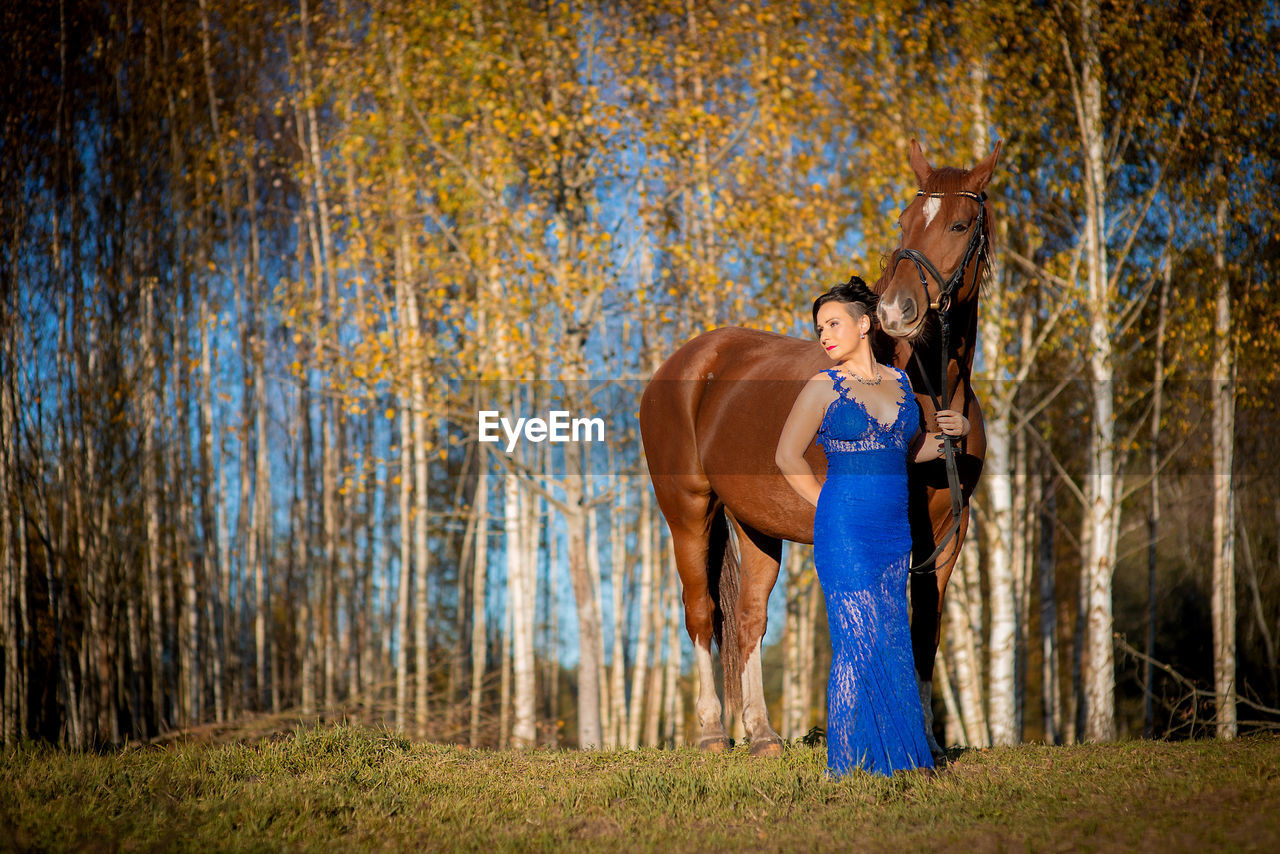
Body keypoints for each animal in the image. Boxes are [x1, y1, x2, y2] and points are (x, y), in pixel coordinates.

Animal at [640, 138, 998, 752]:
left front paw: (925, 740)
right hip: (687, 511)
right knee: (702, 612)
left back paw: (762, 734)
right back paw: (712, 732)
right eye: (904, 219)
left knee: (749, 617)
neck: (930, 386)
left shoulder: (947, 536)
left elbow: (924, 628)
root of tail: (686, 362)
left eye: (957, 223)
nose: (895, 309)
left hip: (755, 524)